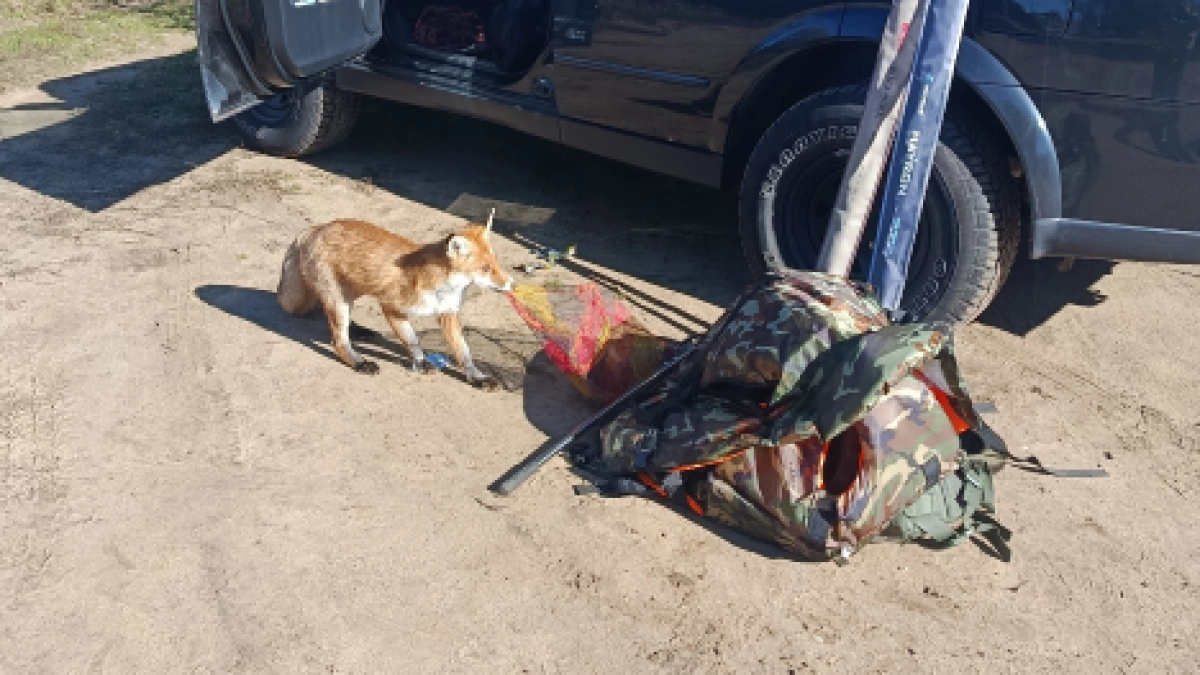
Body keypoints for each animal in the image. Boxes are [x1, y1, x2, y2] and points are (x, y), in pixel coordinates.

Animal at [276, 209, 513, 390]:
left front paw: (477, 377)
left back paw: (358, 330)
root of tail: (318, 227)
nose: (511, 284)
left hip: (353, 291)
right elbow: (412, 341)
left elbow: (464, 354)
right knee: (338, 341)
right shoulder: (391, 306)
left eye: (496, 263)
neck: (441, 287)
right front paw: (421, 362)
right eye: (485, 268)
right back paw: (359, 362)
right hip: (339, 300)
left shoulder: (448, 313)